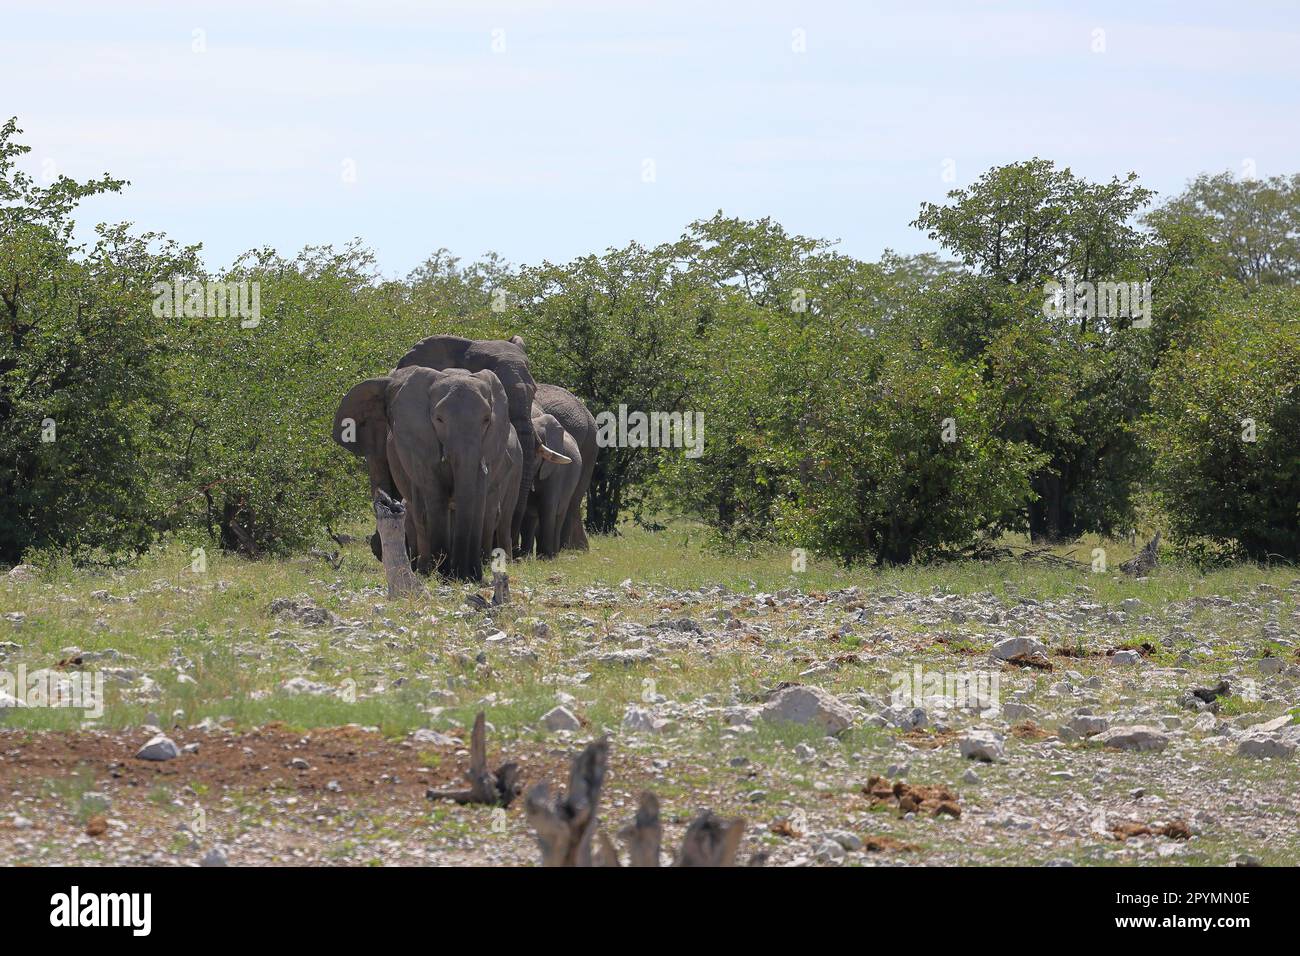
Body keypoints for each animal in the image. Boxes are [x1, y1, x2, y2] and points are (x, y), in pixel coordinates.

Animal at [332, 361, 514, 580]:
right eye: (439, 419)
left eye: (487, 420)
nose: (464, 574)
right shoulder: (417, 440)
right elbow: (433, 493)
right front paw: (441, 574)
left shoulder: (492, 442)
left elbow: (478, 498)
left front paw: (469, 576)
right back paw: (424, 569)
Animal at [517, 405, 579, 561]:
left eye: (535, 457)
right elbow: (528, 511)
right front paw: (524, 558)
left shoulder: (556, 472)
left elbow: (548, 506)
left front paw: (546, 558)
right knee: (533, 516)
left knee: (559, 514)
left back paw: (553, 555)